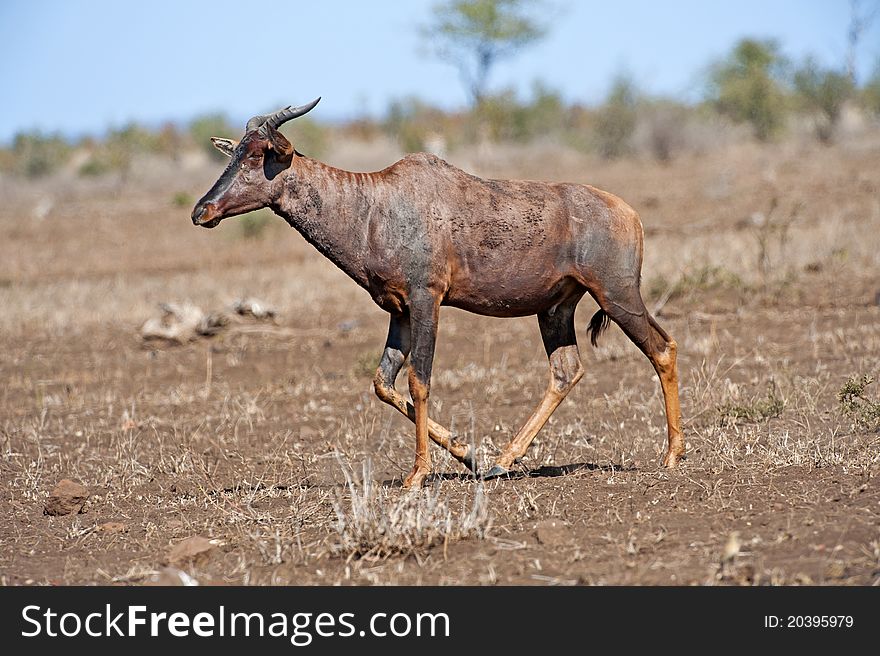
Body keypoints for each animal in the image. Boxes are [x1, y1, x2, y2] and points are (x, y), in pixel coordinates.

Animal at [194, 97, 688, 486]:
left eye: (260, 155)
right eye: (234, 152)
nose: (202, 211)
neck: (376, 202)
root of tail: (629, 214)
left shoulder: (426, 300)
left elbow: (420, 380)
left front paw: (418, 475)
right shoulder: (398, 311)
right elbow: (384, 383)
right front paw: (470, 455)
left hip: (617, 295)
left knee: (661, 348)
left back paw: (670, 456)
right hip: (556, 309)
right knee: (567, 371)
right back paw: (502, 461)